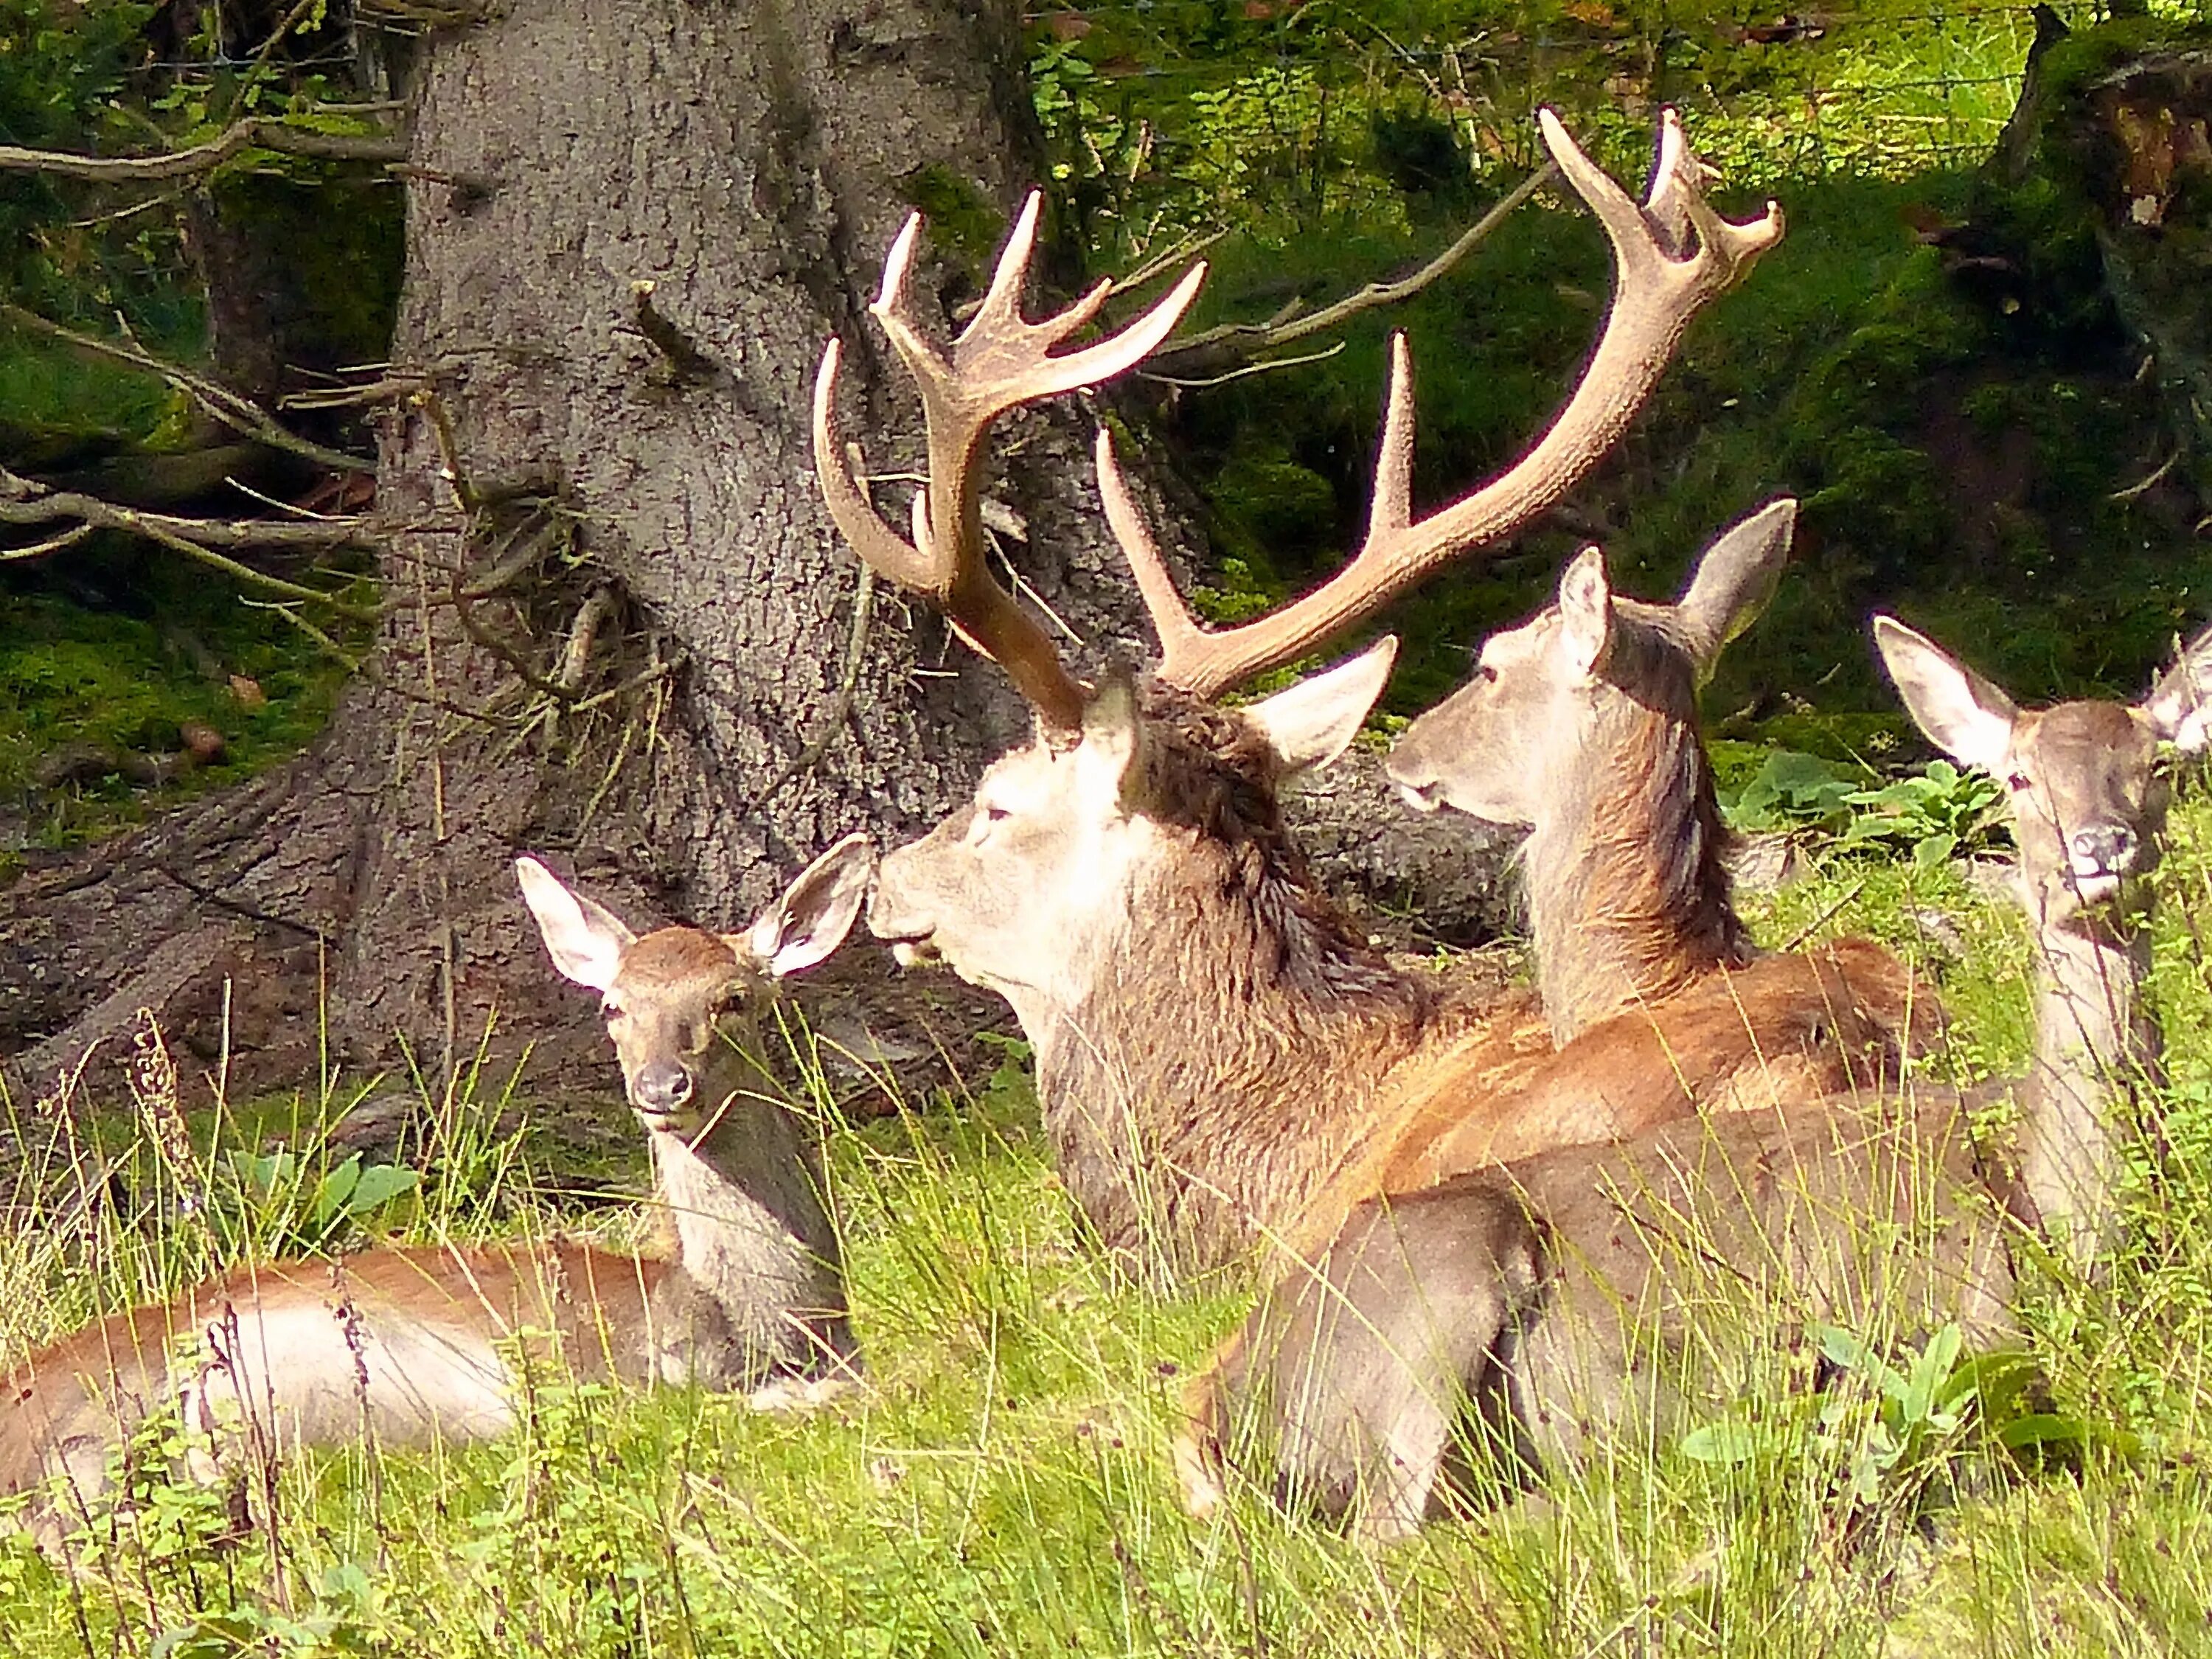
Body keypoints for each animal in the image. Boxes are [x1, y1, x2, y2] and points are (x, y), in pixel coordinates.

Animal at [1177, 624, 2194, 1548]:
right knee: (1394, 1534)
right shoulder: (1936, 1334)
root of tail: (1236, 1394)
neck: (2056, 1217)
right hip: (1432, 1291)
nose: (2100, 848)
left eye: (2161, 766)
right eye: (2017, 777)